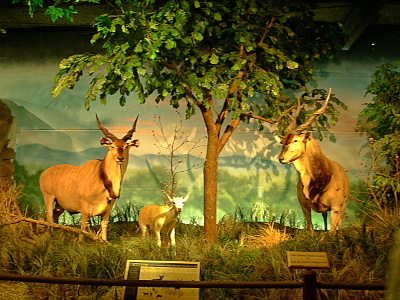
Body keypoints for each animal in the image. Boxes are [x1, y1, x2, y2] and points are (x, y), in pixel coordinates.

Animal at [276, 88, 348, 231]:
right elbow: (311, 229)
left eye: (295, 140)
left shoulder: (335, 207)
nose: (281, 159)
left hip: (343, 208)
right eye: (283, 141)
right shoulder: (304, 206)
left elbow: (332, 231)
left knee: (340, 225)